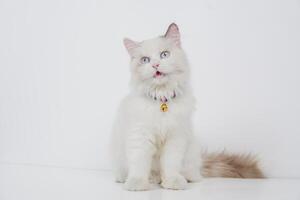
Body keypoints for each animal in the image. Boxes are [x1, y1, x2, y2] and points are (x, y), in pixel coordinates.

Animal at [109, 22, 262, 191]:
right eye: (145, 60)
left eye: (164, 54)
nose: (155, 64)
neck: (162, 99)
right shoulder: (140, 135)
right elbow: (139, 164)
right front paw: (137, 183)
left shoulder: (176, 137)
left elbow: (171, 164)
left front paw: (173, 182)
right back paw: (146, 179)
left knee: (191, 174)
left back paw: (179, 179)